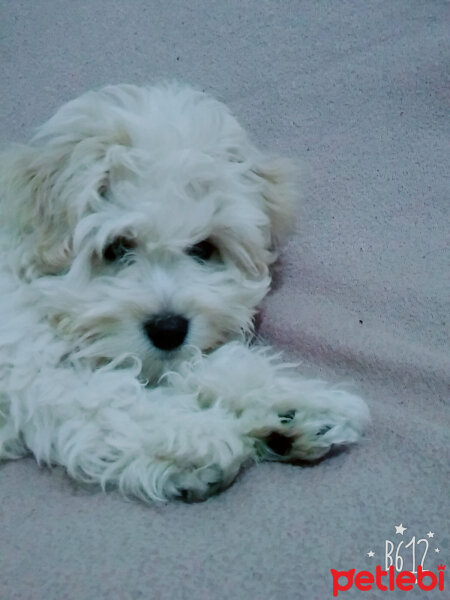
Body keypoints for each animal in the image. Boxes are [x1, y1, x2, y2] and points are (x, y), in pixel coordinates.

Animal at [0, 83, 370, 502]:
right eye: (117, 247)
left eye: (203, 248)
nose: (169, 330)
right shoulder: (24, 363)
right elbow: (101, 396)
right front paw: (195, 440)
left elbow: (211, 364)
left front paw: (291, 409)